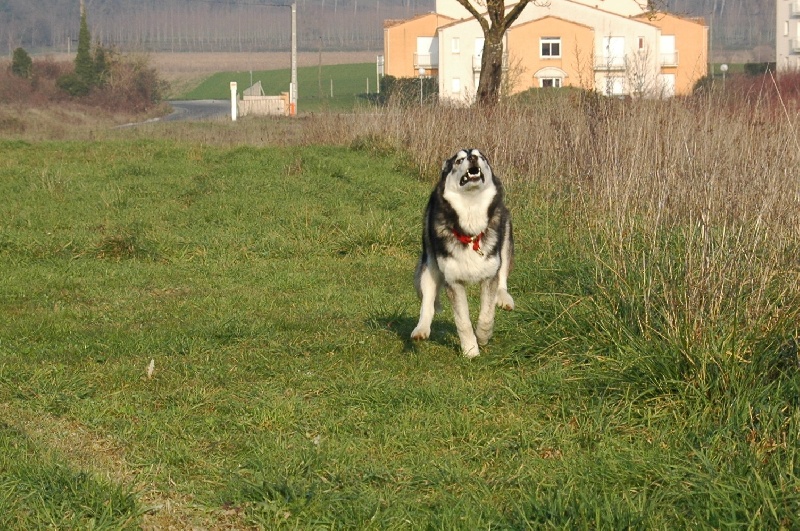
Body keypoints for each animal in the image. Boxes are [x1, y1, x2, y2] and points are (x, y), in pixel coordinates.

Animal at [410, 148, 516, 360]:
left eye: (480, 156)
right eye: (459, 160)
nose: (472, 157)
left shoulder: (489, 275)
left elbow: (486, 314)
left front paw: (483, 336)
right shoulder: (453, 281)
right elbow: (463, 321)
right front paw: (470, 350)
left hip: (505, 239)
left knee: (502, 277)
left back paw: (504, 298)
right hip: (430, 264)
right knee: (428, 300)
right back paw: (421, 328)